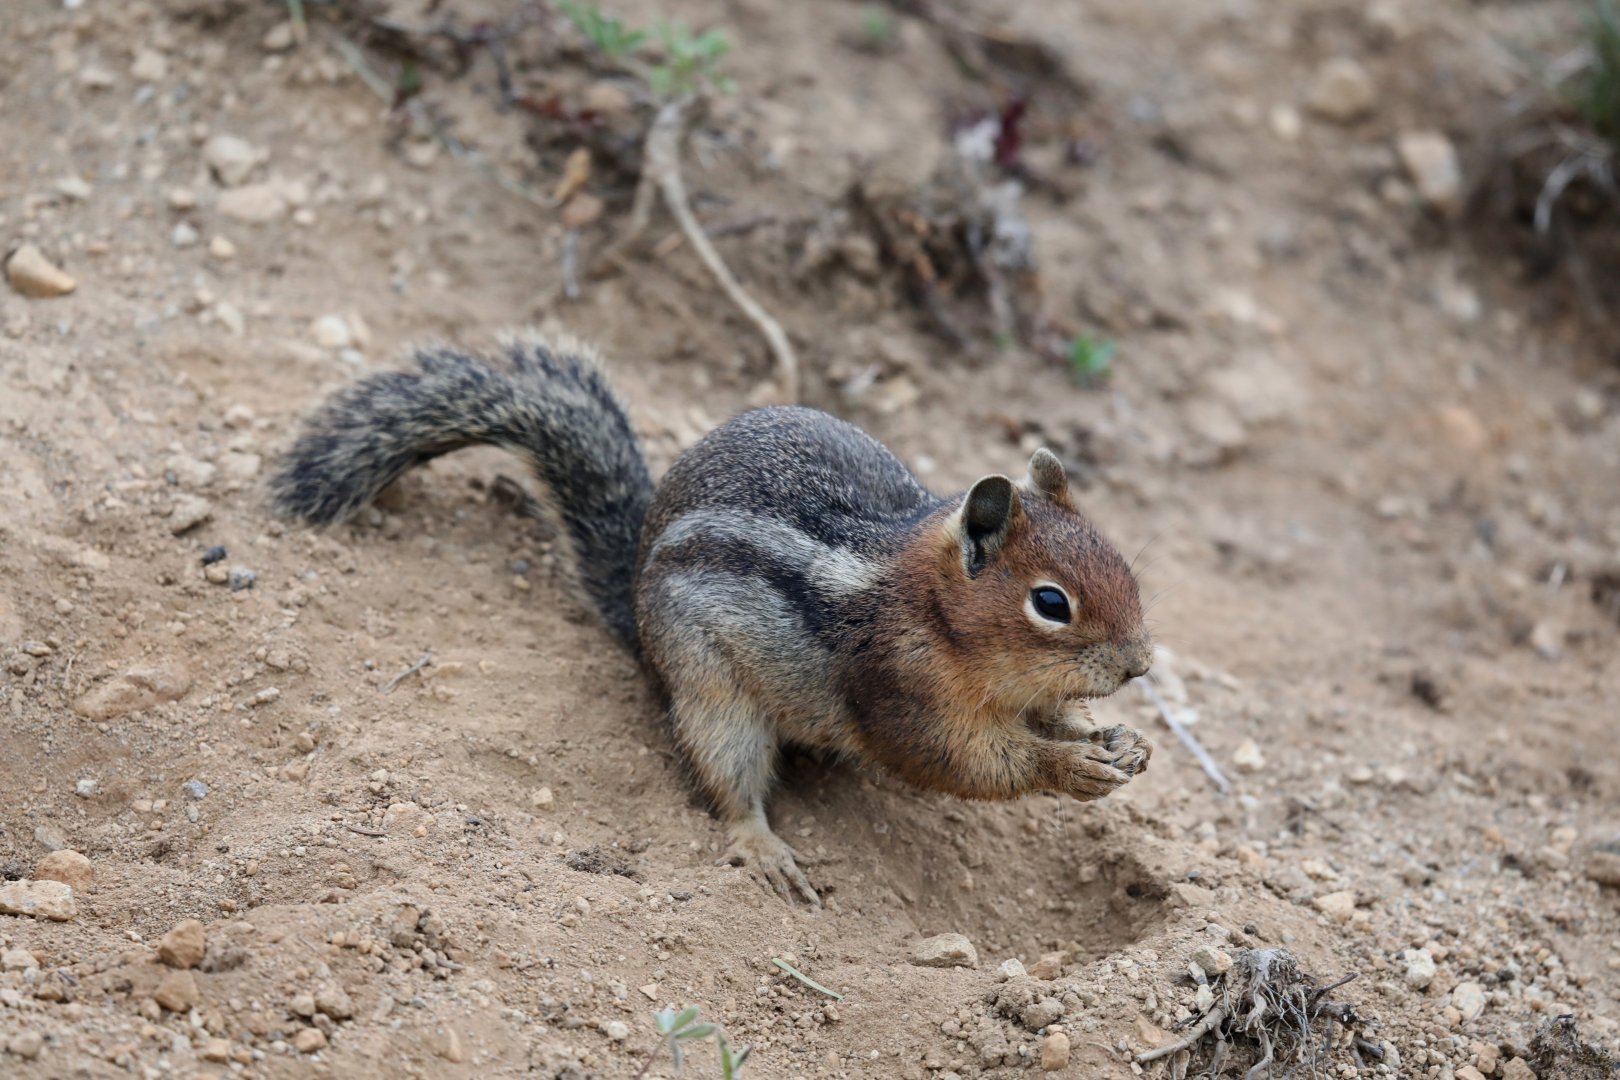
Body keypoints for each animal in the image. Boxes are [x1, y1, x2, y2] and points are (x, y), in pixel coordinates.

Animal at [272, 330, 1155, 906]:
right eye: (1050, 603)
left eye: (1121, 560)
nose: (1140, 664)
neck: (932, 612)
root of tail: (633, 595)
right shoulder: (903, 692)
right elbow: (963, 762)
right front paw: (1068, 767)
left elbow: (1052, 719)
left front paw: (1119, 742)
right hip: (712, 699)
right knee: (726, 783)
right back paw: (764, 850)